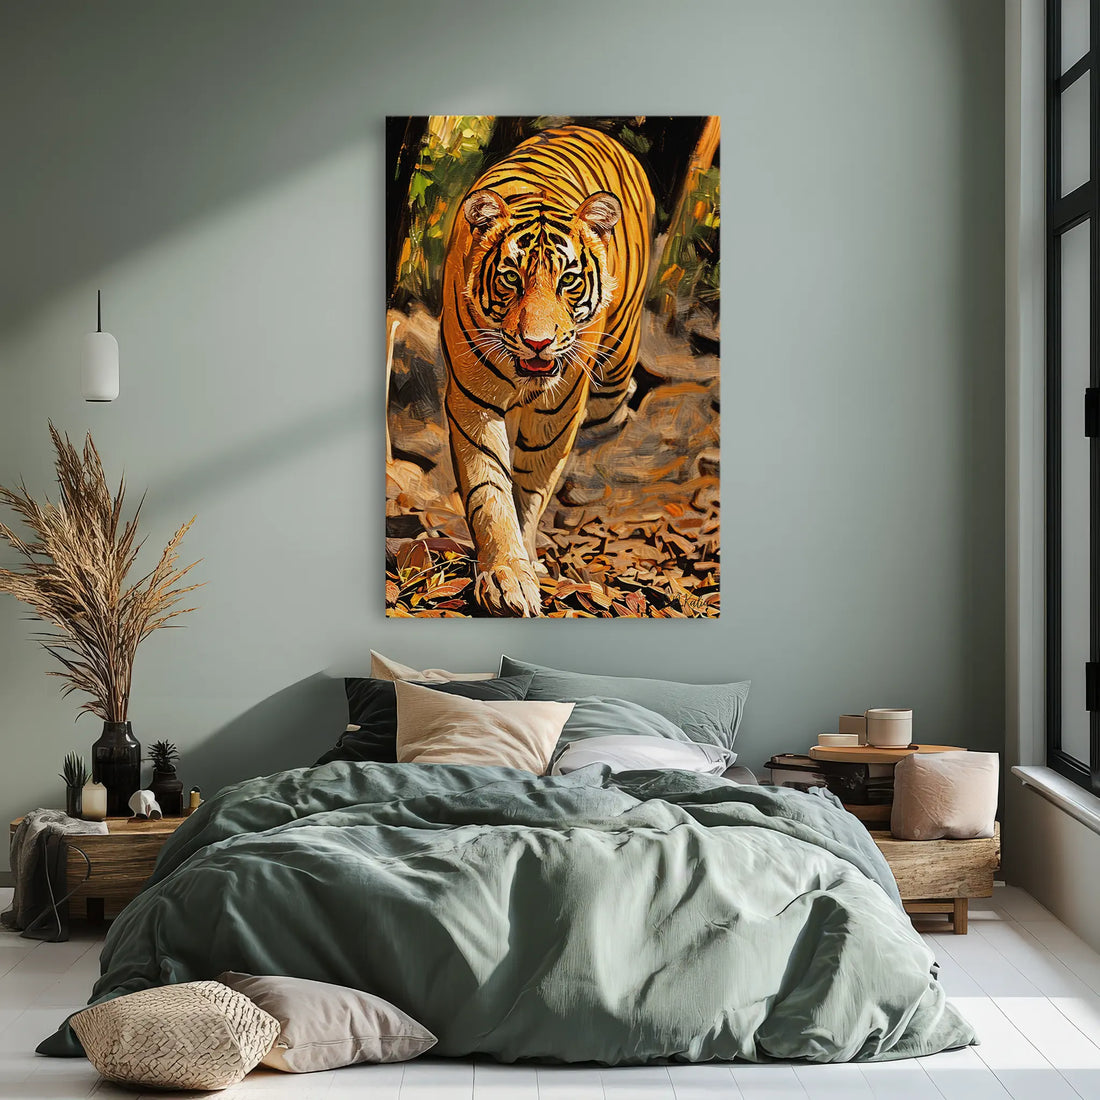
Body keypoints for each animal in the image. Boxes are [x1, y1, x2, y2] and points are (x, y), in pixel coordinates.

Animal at [440, 125, 655, 617]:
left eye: (568, 280)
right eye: (511, 279)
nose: (537, 342)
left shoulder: (558, 409)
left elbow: (530, 486)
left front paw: (525, 559)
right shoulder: (472, 402)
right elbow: (489, 490)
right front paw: (506, 575)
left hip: (615, 368)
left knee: (615, 408)